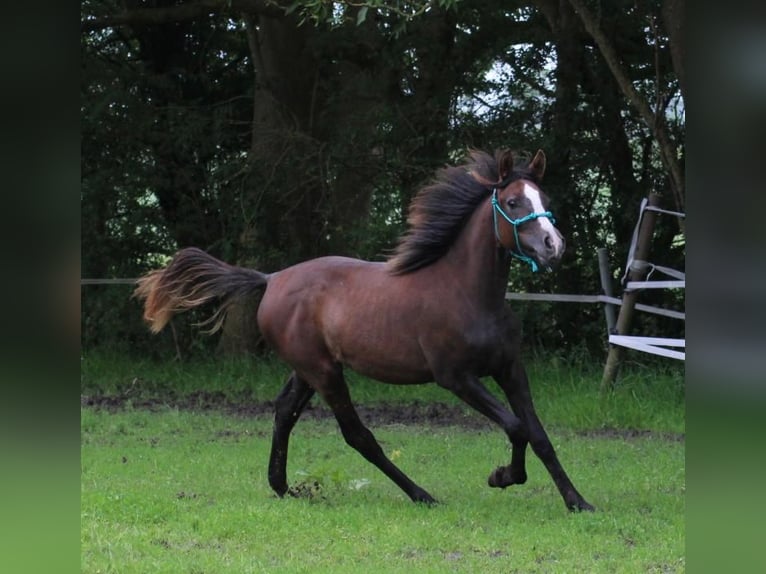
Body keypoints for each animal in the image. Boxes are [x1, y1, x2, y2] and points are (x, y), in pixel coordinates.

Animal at [135, 148, 596, 512]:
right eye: (514, 201)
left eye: (545, 199)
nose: (554, 245)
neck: (469, 293)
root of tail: (271, 279)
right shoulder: (456, 377)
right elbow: (516, 427)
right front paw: (502, 476)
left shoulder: (509, 368)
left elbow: (538, 434)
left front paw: (578, 501)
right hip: (324, 371)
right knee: (357, 434)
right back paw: (421, 495)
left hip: (308, 370)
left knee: (285, 411)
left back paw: (283, 487)